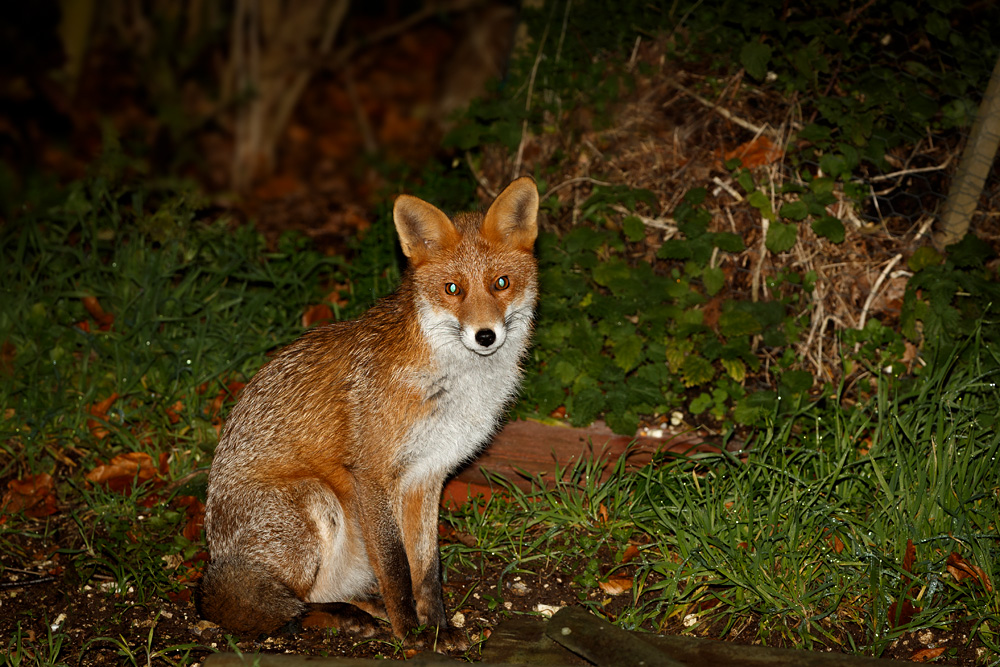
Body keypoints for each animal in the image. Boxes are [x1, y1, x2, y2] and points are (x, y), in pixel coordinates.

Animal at [197, 177, 539, 647]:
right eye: (453, 289)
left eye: (501, 283)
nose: (485, 335)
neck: (454, 385)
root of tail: (216, 551)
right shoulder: (372, 472)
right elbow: (397, 567)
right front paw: (411, 634)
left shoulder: (428, 475)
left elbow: (426, 568)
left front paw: (438, 627)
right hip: (315, 501)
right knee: (282, 603)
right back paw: (337, 616)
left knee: (319, 591)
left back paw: (364, 609)